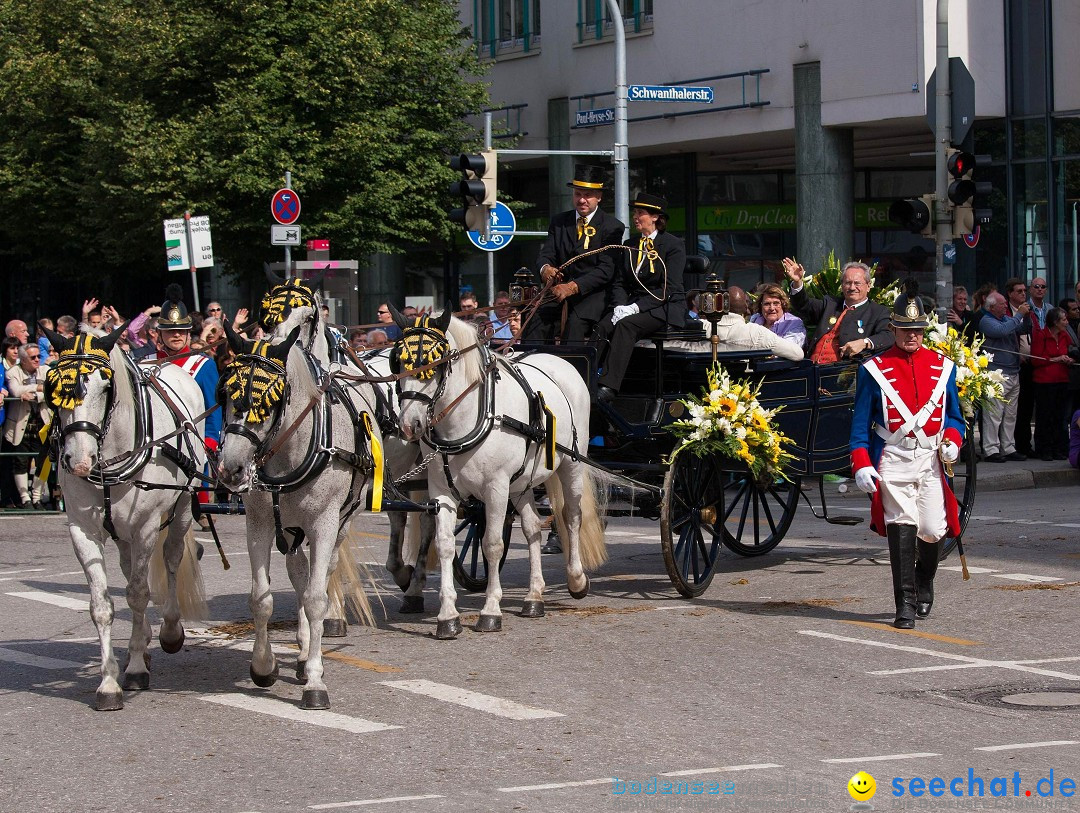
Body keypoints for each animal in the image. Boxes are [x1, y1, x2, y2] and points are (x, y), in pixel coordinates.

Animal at [41, 323, 208, 708]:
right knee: (130, 566)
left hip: (180, 510)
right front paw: (108, 683)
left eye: (106, 386)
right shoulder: (83, 530)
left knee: (172, 557)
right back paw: (144, 638)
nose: (79, 461)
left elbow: (137, 594)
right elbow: (102, 604)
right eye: (53, 389)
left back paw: (169, 631)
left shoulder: (146, 526)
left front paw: (133, 669)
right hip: (121, 532)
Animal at [212, 313, 382, 708]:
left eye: (270, 399)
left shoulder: (323, 524)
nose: (231, 469)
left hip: (340, 523)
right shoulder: (259, 524)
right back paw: (303, 650)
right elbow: (262, 598)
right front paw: (264, 666)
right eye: (224, 392)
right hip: (288, 528)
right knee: (298, 572)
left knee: (320, 577)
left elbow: (317, 598)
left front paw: (315, 681)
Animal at [393, 306, 609, 639]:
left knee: (572, 517)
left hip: (571, 464)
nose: (408, 425)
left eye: (436, 364)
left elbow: (492, 545)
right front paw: (448, 616)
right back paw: (534, 597)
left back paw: (576, 579)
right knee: (532, 527)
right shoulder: (442, 493)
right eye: (399, 361)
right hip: (521, 483)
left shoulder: (496, 488)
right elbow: (444, 545)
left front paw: (491, 610)